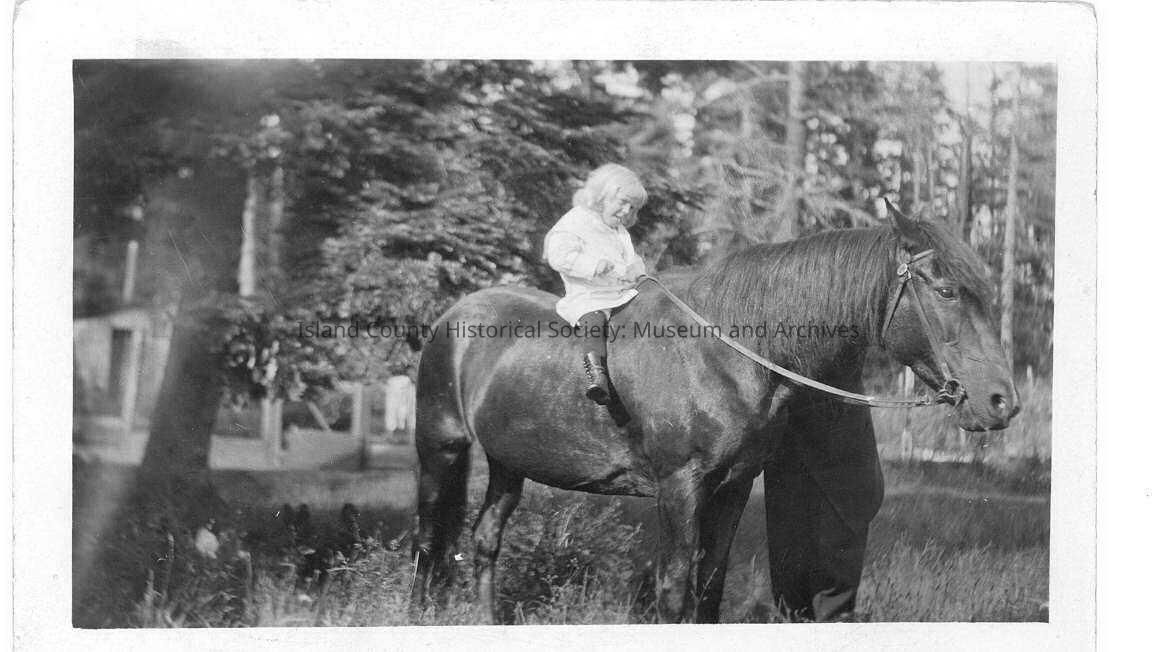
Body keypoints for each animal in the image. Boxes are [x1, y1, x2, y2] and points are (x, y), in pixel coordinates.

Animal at [409, 204, 1019, 623]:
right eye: (945, 290)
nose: (1002, 402)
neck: (726, 354)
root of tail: (454, 316)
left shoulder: (732, 487)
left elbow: (710, 586)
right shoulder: (680, 488)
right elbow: (675, 588)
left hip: (508, 464)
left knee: (484, 540)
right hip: (440, 449)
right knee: (427, 541)